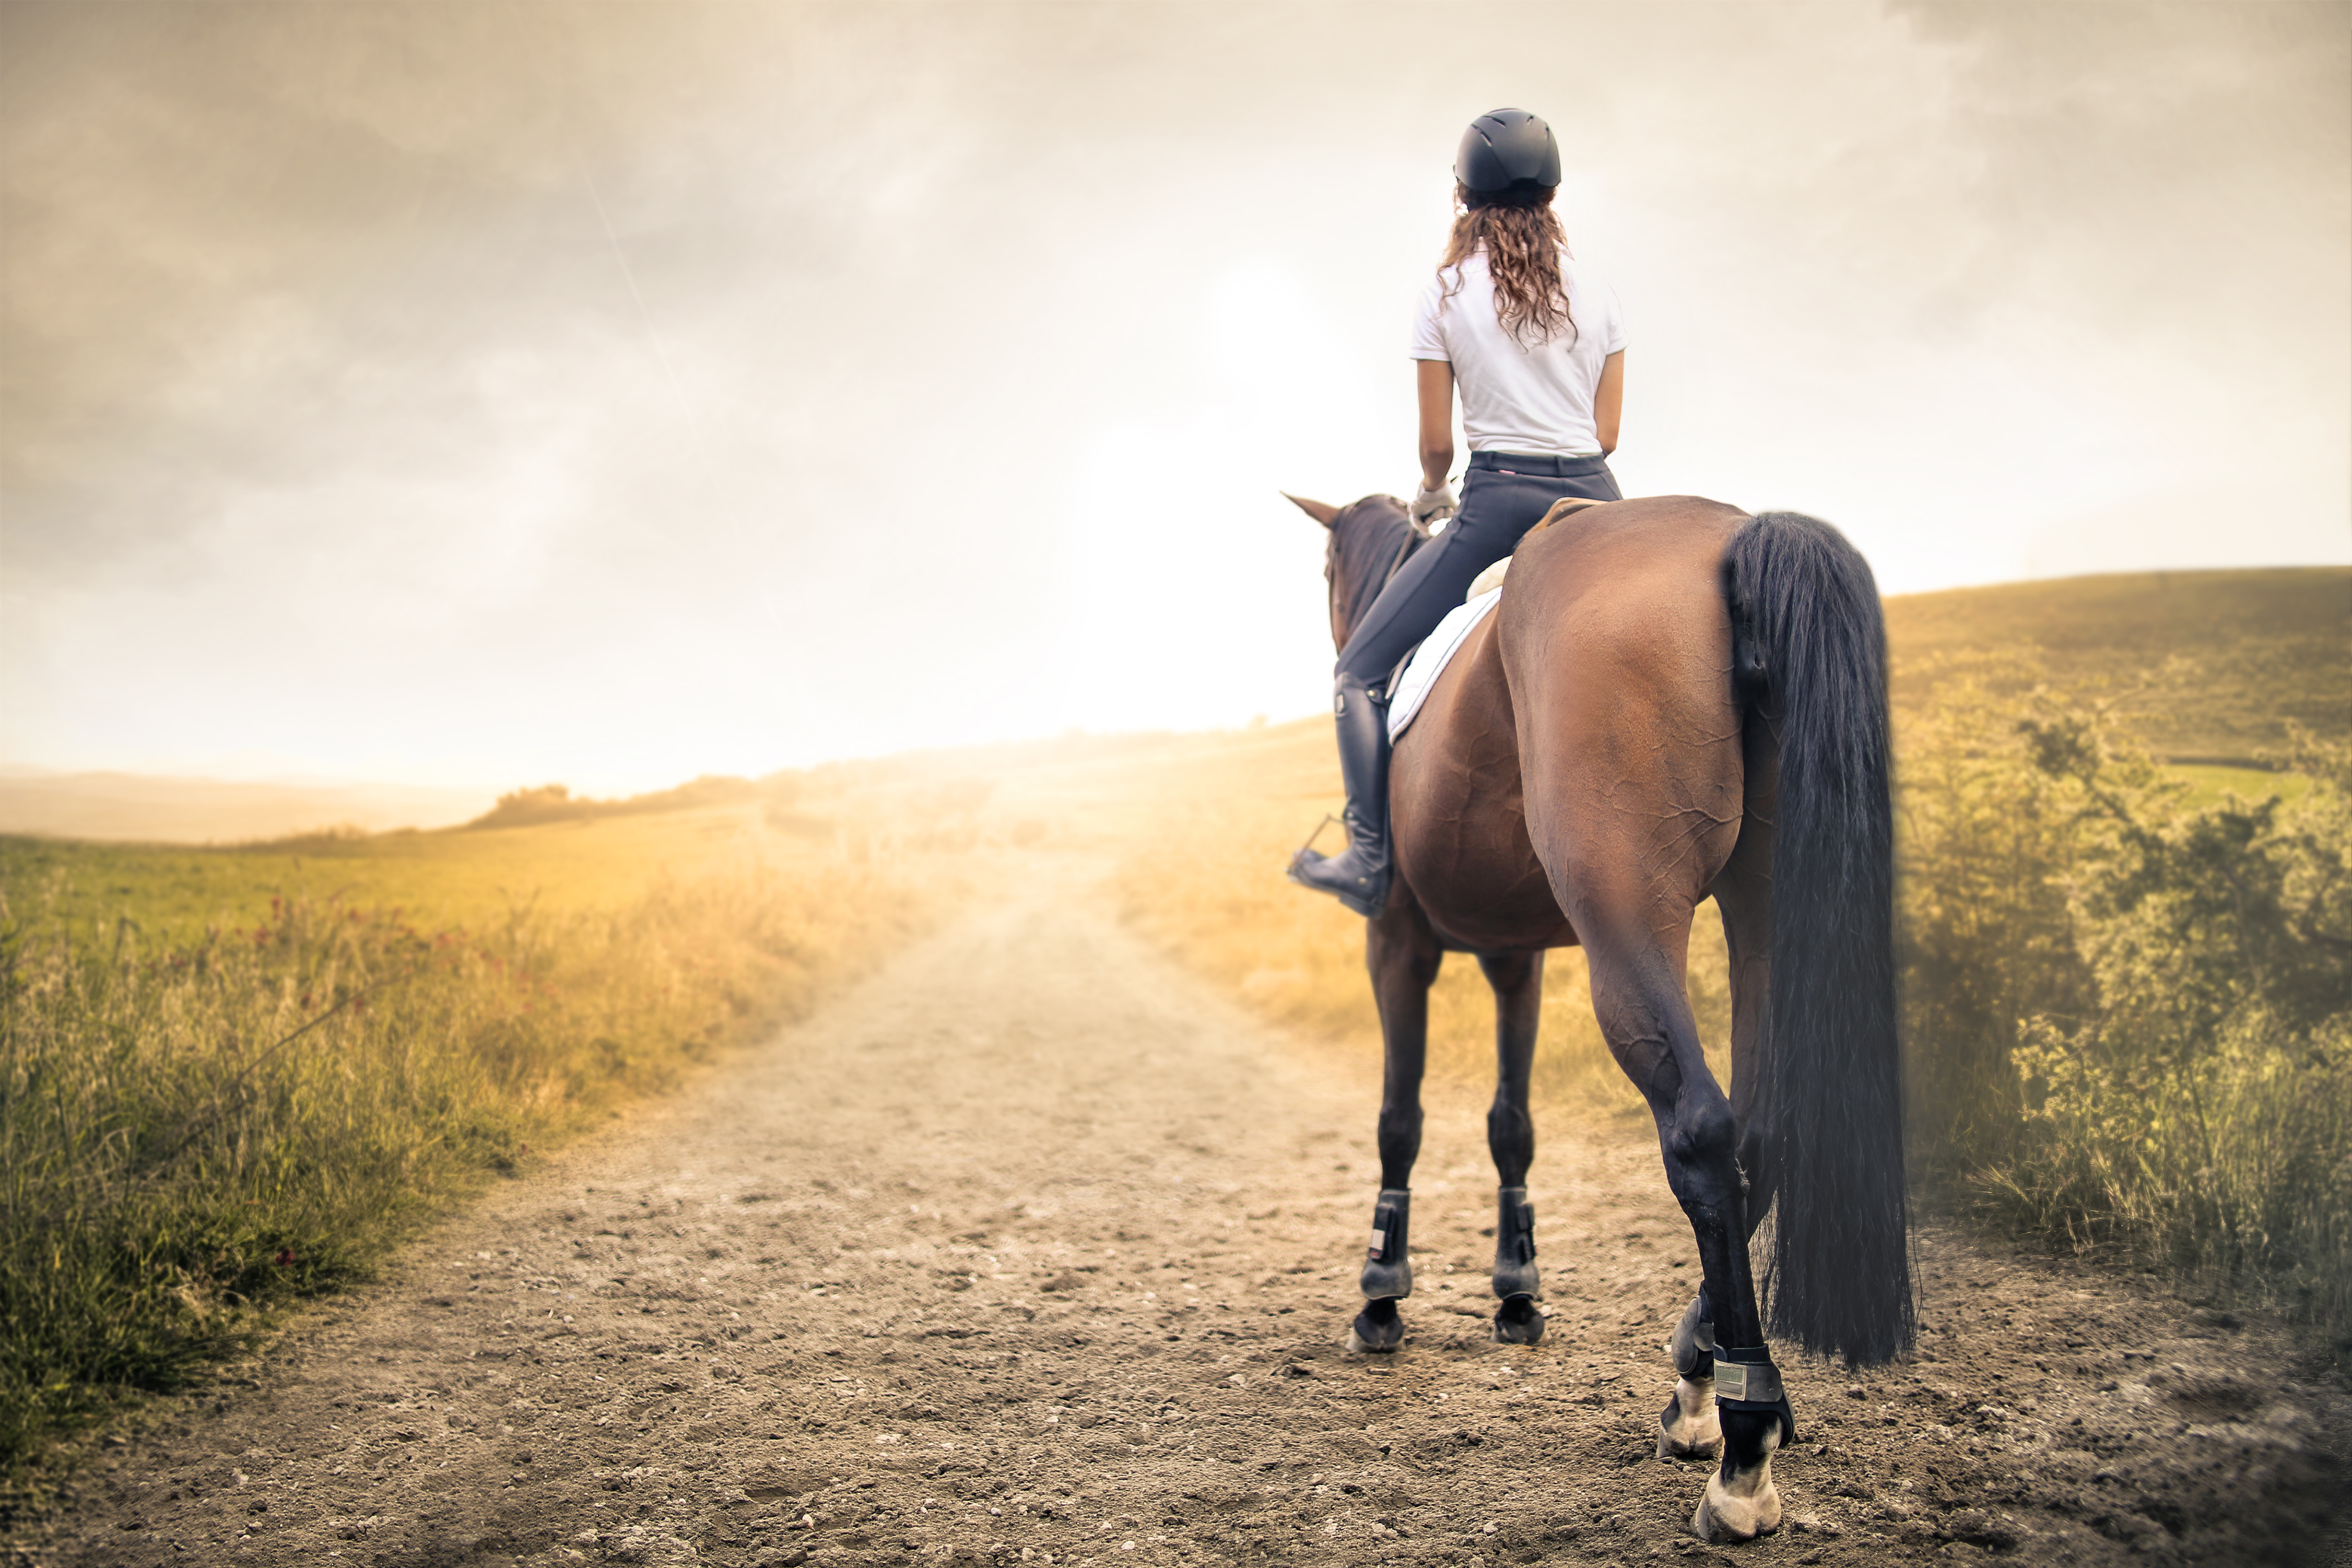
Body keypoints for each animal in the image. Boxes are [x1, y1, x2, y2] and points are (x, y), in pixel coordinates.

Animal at [1289, 493, 1910, 1542]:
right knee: (1767, 1132)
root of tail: (1732, 536)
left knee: (1703, 1133)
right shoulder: (1518, 957)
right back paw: (1700, 1381)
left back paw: (1741, 1447)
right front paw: (1515, 1292)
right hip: (1765, 897)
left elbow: (1400, 1120)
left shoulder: (1398, 945)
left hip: (1627, 910)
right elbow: (1511, 1124)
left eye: (1330, 575)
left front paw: (1382, 1296)